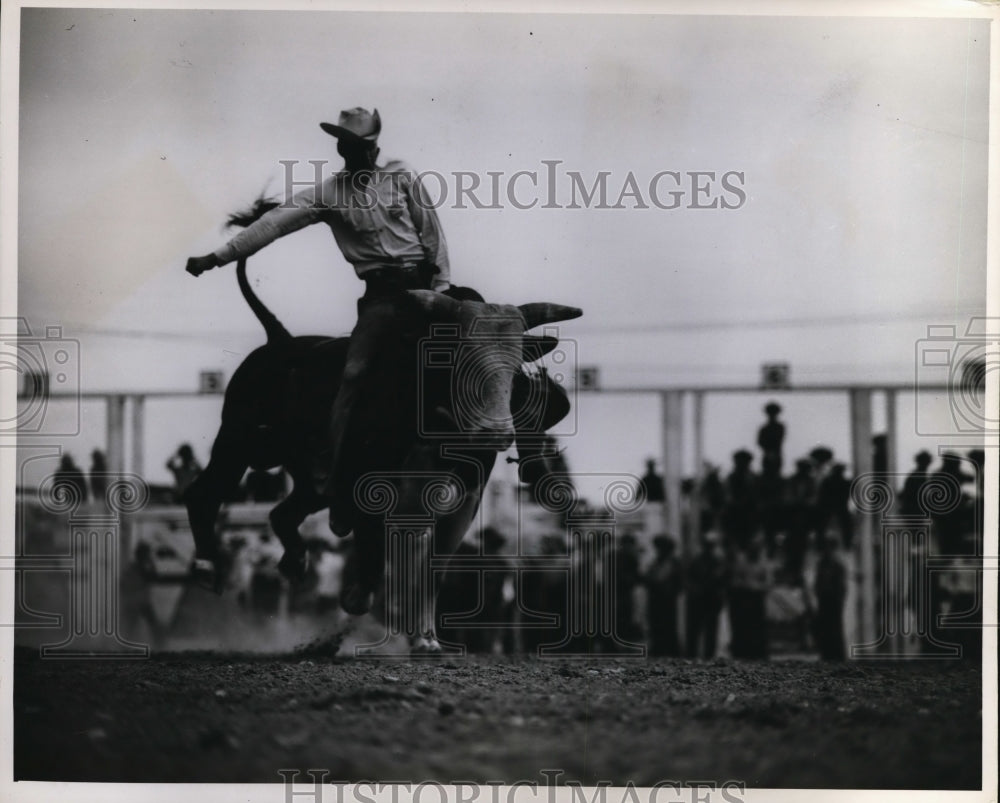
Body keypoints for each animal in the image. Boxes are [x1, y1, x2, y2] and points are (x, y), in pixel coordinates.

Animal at [184, 256, 584, 652]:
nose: (495, 433)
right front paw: (358, 602)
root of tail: (280, 340)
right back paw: (206, 566)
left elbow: (432, 569)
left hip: (310, 483)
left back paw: (295, 561)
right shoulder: (370, 488)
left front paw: (426, 638)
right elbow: (373, 556)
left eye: (516, 367)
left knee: (282, 513)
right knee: (203, 493)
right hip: (238, 444)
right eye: (458, 356)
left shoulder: (465, 501)